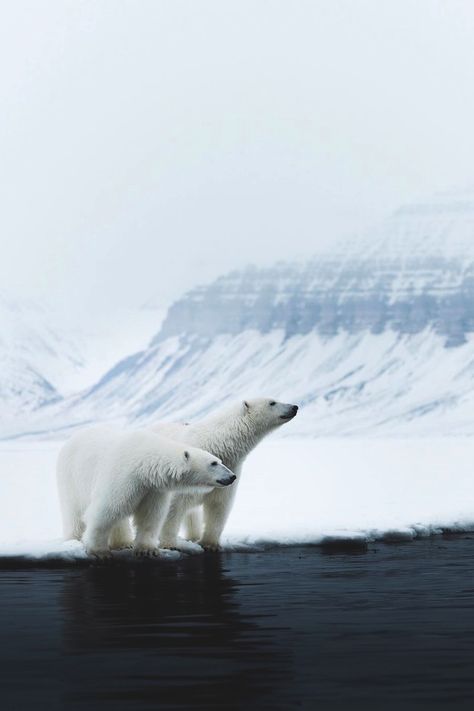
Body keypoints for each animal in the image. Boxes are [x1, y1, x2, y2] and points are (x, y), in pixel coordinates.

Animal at [56, 426, 237, 560]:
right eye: (214, 463)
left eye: (220, 461)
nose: (232, 476)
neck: (143, 463)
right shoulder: (122, 476)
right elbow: (105, 511)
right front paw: (99, 552)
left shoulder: (153, 488)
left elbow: (150, 516)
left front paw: (147, 550)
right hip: (71, 477)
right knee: (74, 512)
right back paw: (74, 539)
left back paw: (124, 543)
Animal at [152, 400, 298, 552]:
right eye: (272, 402)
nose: (294, 407)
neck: (216, 443)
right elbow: (172, 508)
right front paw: (169, 544)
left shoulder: (229, 472)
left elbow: (219, 505)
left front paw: (210, 544)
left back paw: (193, 536)